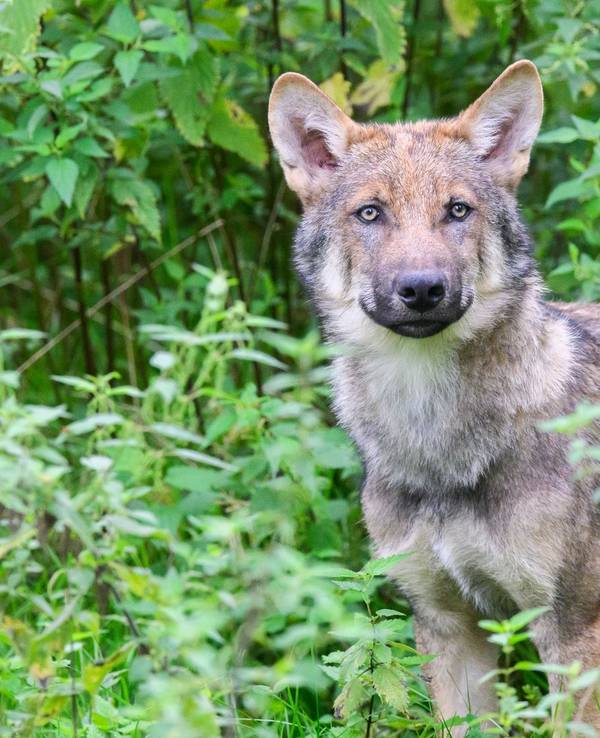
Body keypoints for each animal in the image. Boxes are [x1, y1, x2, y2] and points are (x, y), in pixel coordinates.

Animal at [268, 61, 600, 734]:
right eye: (371, 213)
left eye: (457, 210)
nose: (422, 288)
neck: (438, 444)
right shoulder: (448, 627)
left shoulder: (573, 636)